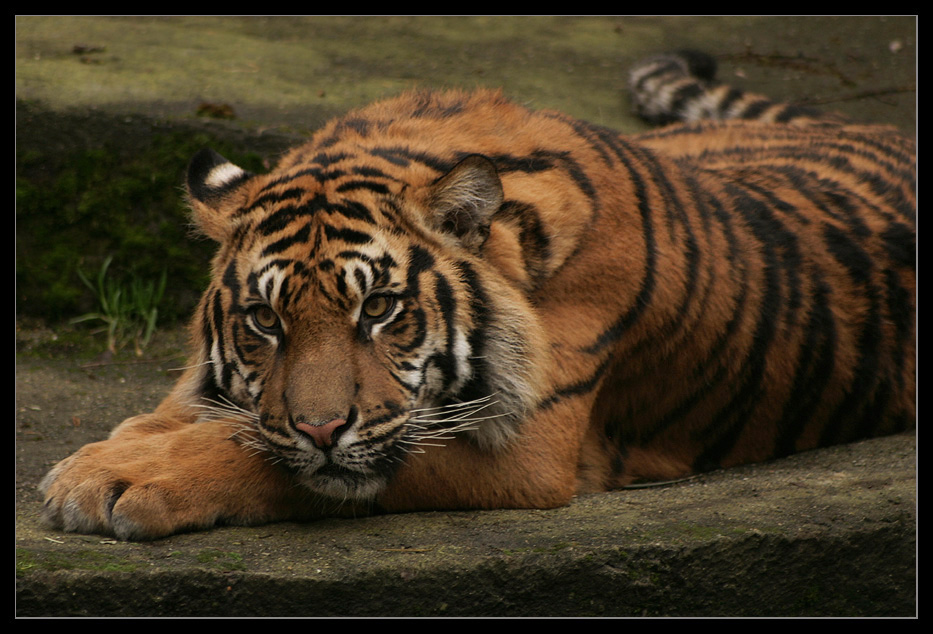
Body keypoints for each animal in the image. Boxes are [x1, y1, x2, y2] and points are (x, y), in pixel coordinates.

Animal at [40, 51, 912, 540]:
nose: (321, 428)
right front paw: (121, 443)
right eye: (264, 320)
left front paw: (112, 477)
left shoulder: (526, 449)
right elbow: (204, 414)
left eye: (378, 310)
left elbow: (257, 449)